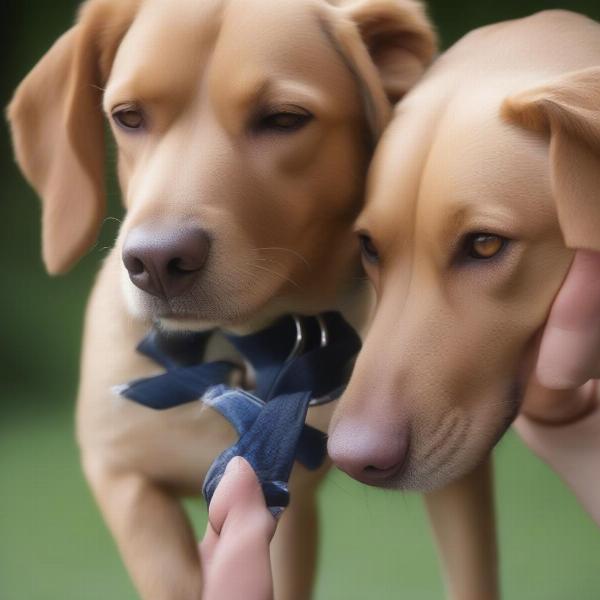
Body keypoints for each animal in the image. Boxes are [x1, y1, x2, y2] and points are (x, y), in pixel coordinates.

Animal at [7, 1, 434, 600]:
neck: (228, 356)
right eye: (128, 116)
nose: (156, 262)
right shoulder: (118, 470)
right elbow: (170, 570)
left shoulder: (283, 502)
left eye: (284, 119)